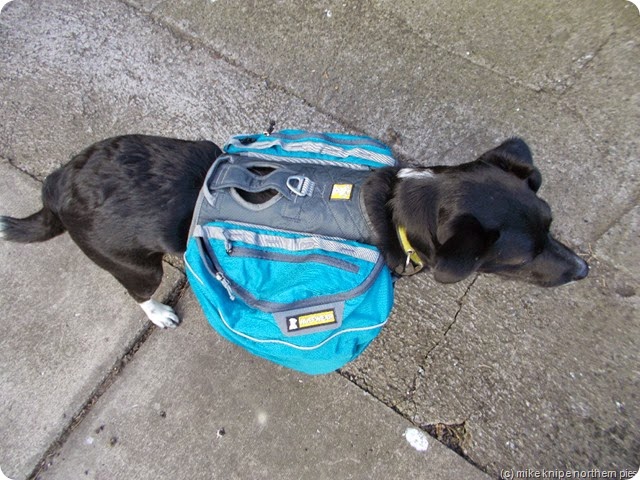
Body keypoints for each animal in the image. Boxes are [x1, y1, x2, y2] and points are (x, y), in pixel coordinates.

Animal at [0, 135, 588, 328]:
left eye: (551, 225)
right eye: (521, 259)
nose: (584, 270)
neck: (398, 206)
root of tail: (57, 182)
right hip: (132, 264)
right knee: (137, 291)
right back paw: (160, 312)